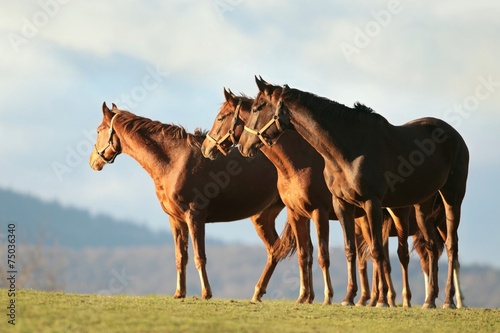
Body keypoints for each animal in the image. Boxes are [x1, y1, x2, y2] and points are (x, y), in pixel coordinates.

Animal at [90, 102, 296, 300]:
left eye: (99, 130)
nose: (93, 161)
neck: (175, 161)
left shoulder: (195, 216)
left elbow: (199, 257)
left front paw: (206, 293)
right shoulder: (176, 219)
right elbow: (180, 257)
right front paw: (179, 292)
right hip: (262, 217)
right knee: (274, 251)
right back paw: (258, 293)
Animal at [200, 89, 454, 308]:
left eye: (221, 117)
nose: (205, 147)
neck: (298, 164)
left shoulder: (319, 213)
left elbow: (322, 255)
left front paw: (327, 295)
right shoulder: (298, 213)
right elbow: (306, 254)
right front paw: (305, 296)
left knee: (409, 254)